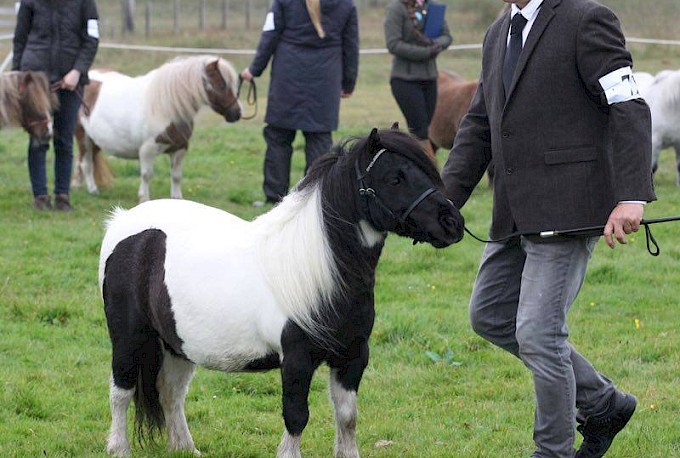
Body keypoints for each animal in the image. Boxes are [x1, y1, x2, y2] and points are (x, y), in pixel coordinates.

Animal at [73, 55, 243, 200]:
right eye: (221, 85)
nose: (237, 113)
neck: (166, 107)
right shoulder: (148, 150)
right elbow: (146, 174)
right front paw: (144, 198)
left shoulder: (180, 148)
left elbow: (176, 175)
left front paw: (177, 198)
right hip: (83, 136)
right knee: (86, 163)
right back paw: (92, 190)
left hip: (96, 141)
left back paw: (77, 185)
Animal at [98, 127, 464, 456]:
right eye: (395, 178)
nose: (452, 223)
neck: (320, 270)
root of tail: (122, 221)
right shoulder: (297, 360)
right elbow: (296, 417)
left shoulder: (352, 356)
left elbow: (347, 417)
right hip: (128, 336)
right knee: (121, 391)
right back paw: (119, 448)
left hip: (177, 345)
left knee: (170, 393)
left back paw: (186, 448)